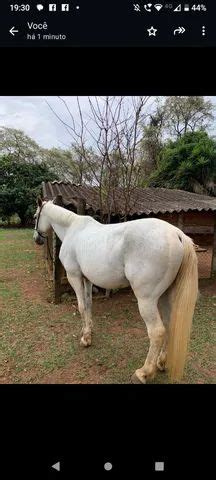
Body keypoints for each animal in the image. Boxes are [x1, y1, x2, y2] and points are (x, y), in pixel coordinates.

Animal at [33, 197, 197, 384]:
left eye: (35, 216)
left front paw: (85, 339)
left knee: (157, 332)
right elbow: (88, 305)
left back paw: (143, 372)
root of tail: (177, 234)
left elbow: (81, 306)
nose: (36, 239)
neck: (71, 230)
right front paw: (88, 331)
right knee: (169, 324)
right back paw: (161, 362)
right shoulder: (87, 279)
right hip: (164, 296)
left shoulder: (74, 276)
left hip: (147, 300)